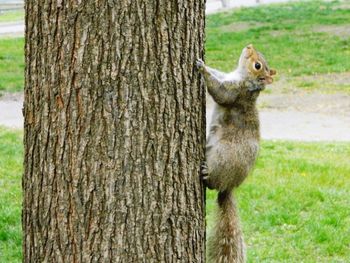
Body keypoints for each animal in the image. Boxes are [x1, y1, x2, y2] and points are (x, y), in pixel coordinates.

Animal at [197, 44, 276, 262]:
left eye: (257, 65)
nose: (249, 46)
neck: (243, 77)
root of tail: (229, 186)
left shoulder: (235, 92)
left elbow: (220, 92)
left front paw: (202, 68)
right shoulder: (227, 76)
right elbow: (218, 75)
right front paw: (207, 65)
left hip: (222, 156)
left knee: (213, 183)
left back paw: (207, 173)